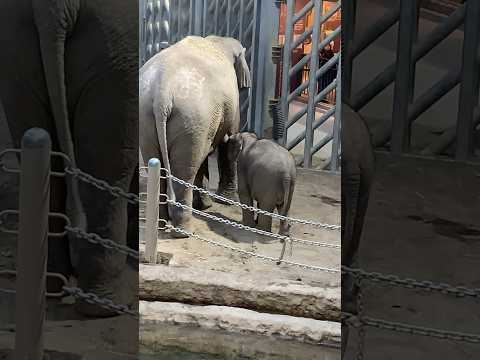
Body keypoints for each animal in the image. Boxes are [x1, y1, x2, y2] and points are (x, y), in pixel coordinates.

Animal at [0, 0, 139, 316]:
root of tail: (52, 7)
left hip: (16, 48)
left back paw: (51, 289)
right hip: (116, 48)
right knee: (108, 165)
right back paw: (107, 306)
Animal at [140, 35, 249, 235]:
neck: (217, 40)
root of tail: (161, 93)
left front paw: (206, 205)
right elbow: (228, 141)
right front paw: (220, 202)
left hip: (148, 117)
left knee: (158, 165)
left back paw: (161, 225)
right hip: (192, 117)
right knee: (186, 170)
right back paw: (183, 231)